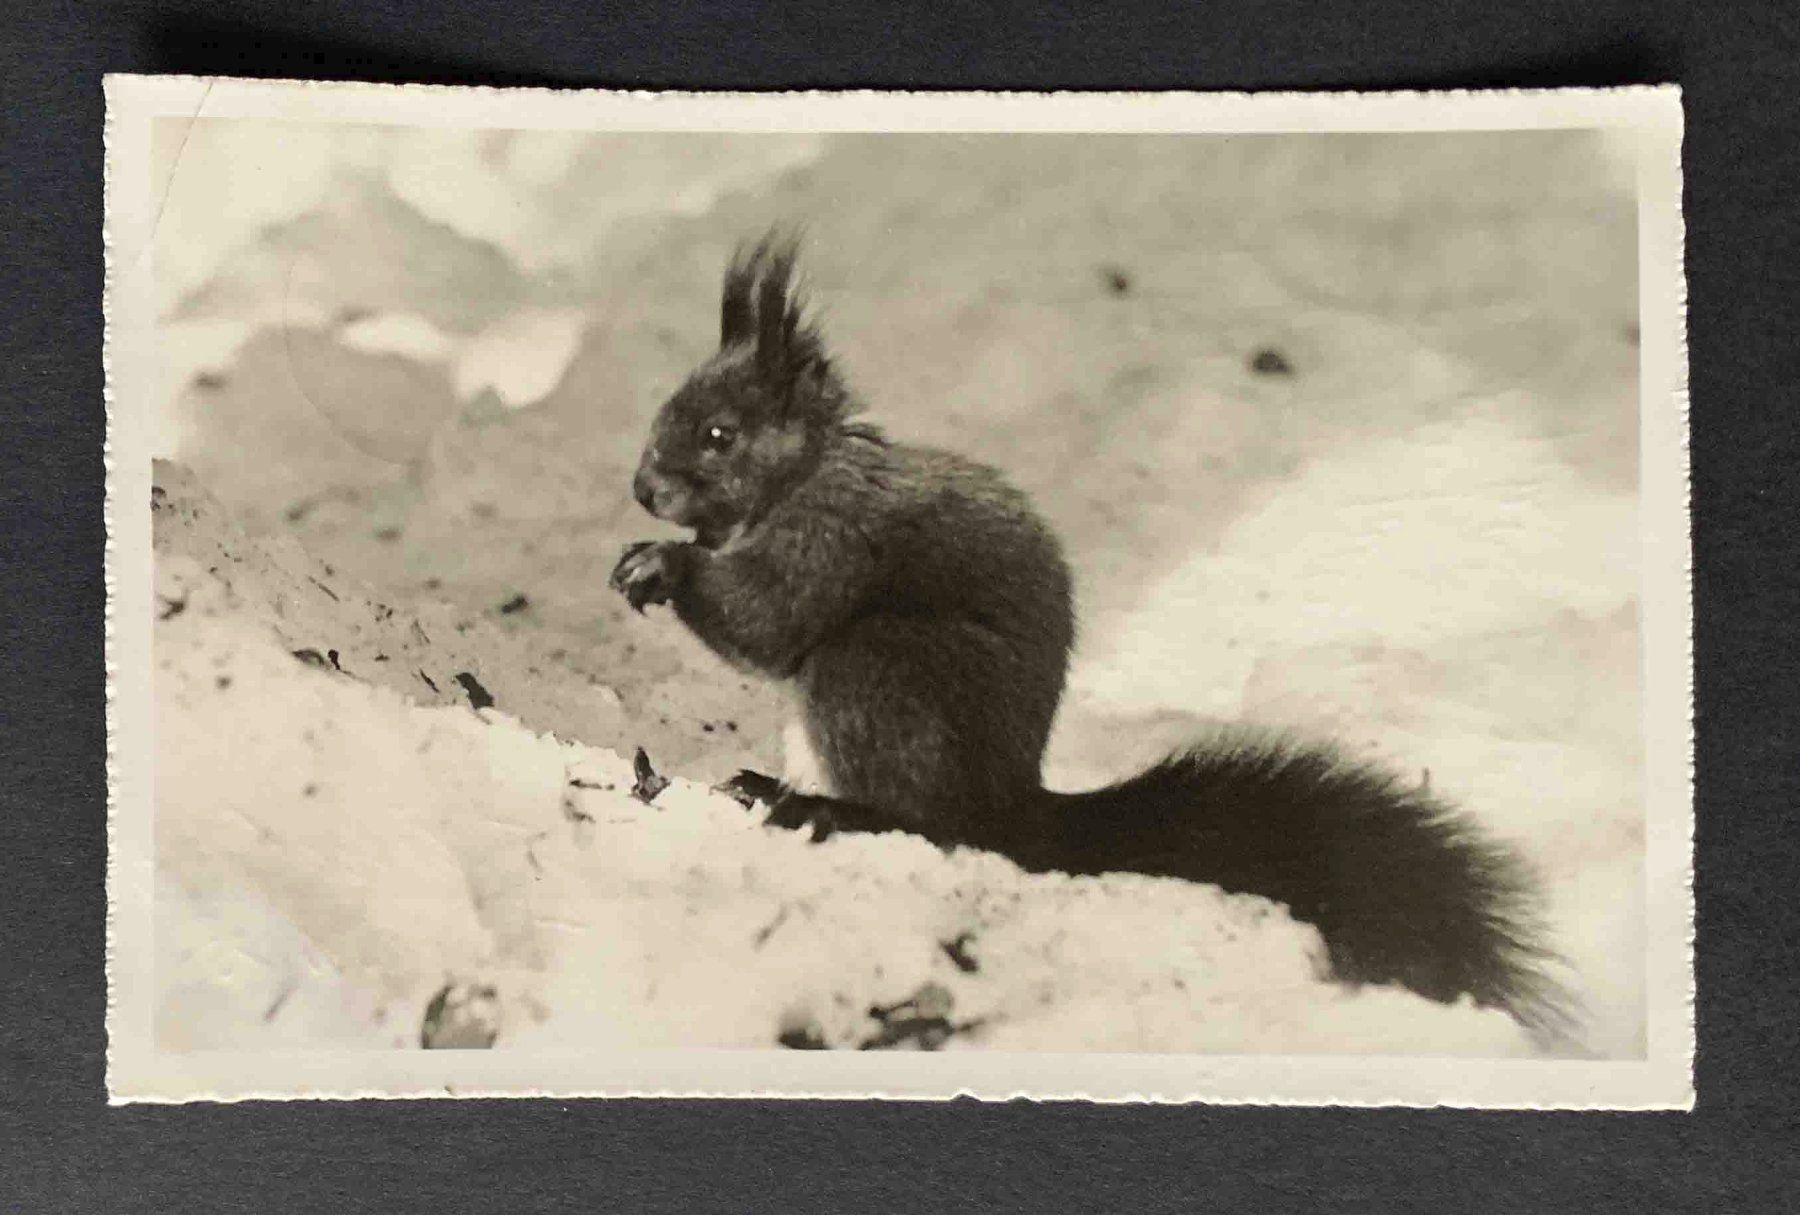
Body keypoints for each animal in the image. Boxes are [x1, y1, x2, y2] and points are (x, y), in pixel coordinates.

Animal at [609, 232, 1571, 1035]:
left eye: (719, 433)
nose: (644, 489)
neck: (806, 473)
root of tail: (1012, 803)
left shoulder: (831, 539)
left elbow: (768, 621)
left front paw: (666, 566)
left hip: (878, 670)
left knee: (930, 821)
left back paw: (827, 808)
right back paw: (767, 783)